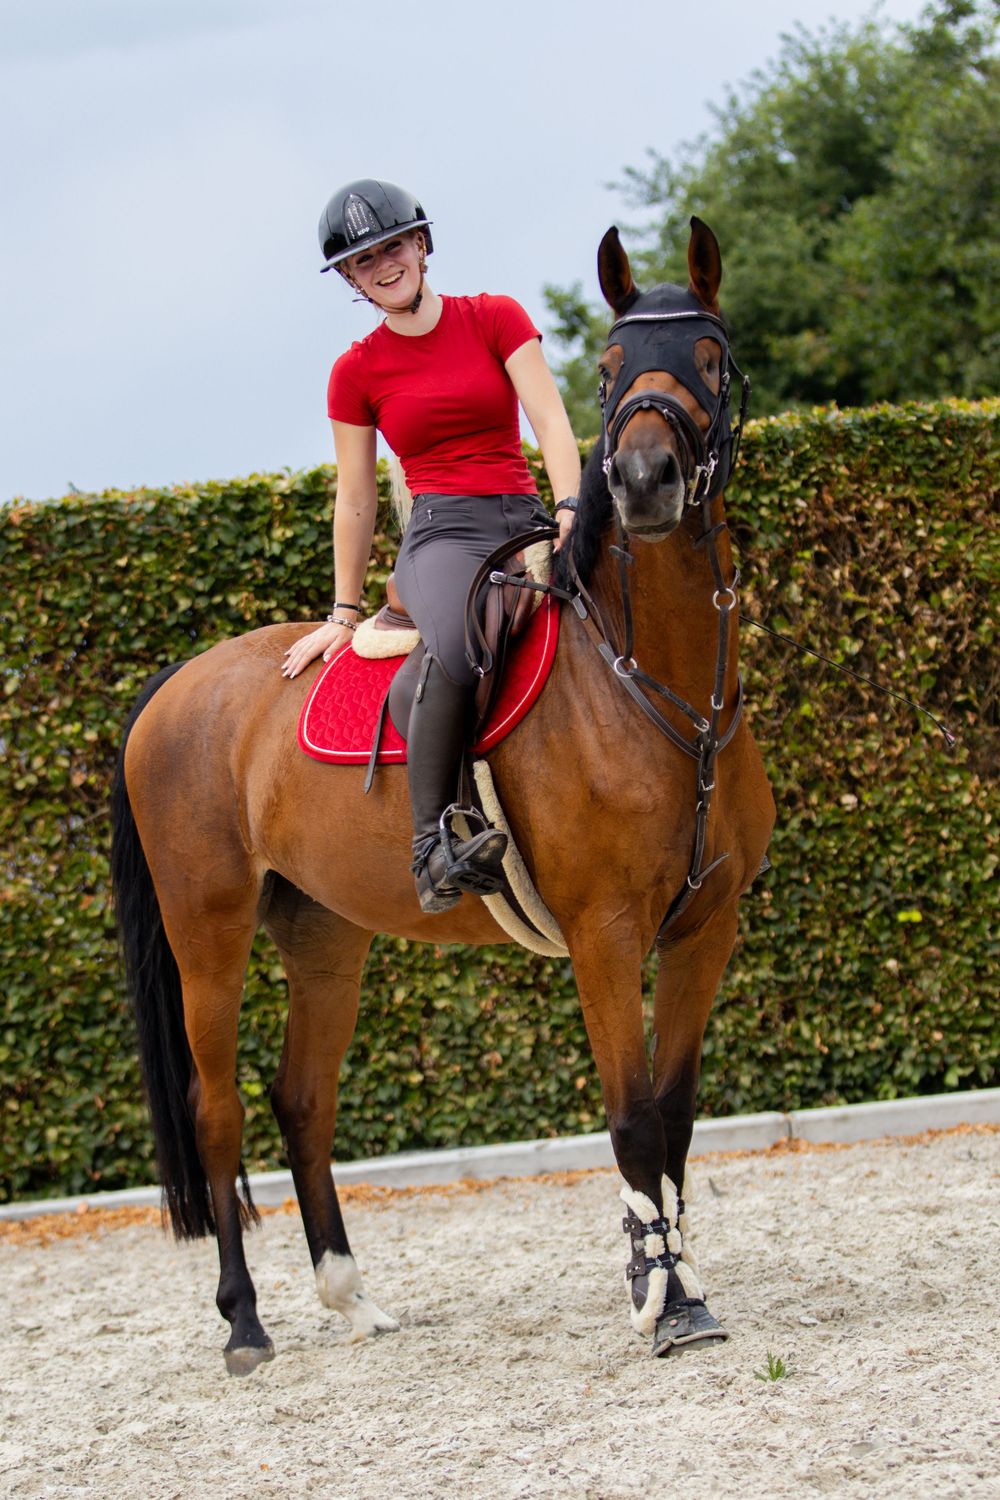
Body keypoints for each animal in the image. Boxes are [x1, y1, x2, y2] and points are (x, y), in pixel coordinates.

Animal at [111, 217, 774, 1374]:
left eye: (710, 353)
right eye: (610, 367)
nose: (644, 479)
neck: (660, 692)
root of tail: (179, 683)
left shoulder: (705, 929)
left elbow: (678, 1116)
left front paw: (680, 1282)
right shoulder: (606, 934)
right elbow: (632, 1118)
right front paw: (661, 1299)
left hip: (323, 932)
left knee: (303, 1099)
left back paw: (351, 1299)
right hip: (208, 933)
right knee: (217, 1112)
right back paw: (245, 1323)